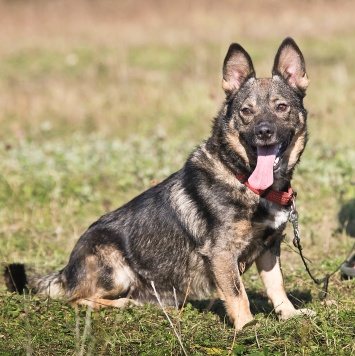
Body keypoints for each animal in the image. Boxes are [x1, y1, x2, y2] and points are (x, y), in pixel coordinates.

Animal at [4, 37, 314, 330]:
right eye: (246, 111)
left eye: (281, 107)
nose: (264, 132)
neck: (245, 179)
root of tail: (67, 269)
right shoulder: (222, 253)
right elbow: (238, 294)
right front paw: (248, 327)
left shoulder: (269, 247)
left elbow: (277, 285)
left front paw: (289, 315)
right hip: (115, 270)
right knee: (76, 298)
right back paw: (122, 303)